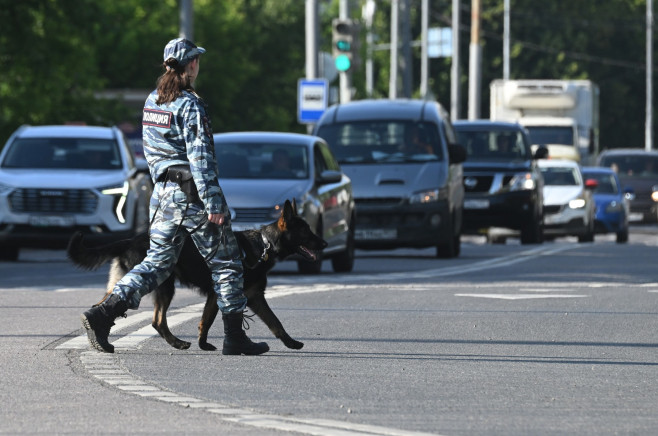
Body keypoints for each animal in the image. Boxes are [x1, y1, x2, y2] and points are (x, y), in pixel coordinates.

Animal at [67, 200, 328, 350]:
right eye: (306, 231)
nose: (325, 243)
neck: (264, 244)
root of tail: (130, 239)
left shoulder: (251, 297)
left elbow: (274, 322)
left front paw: (290, 343)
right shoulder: (224, 293)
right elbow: (210, 320)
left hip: (134, 284)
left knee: (113, 305)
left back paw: (97, 333)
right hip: (163, 285)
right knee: (157, 320)